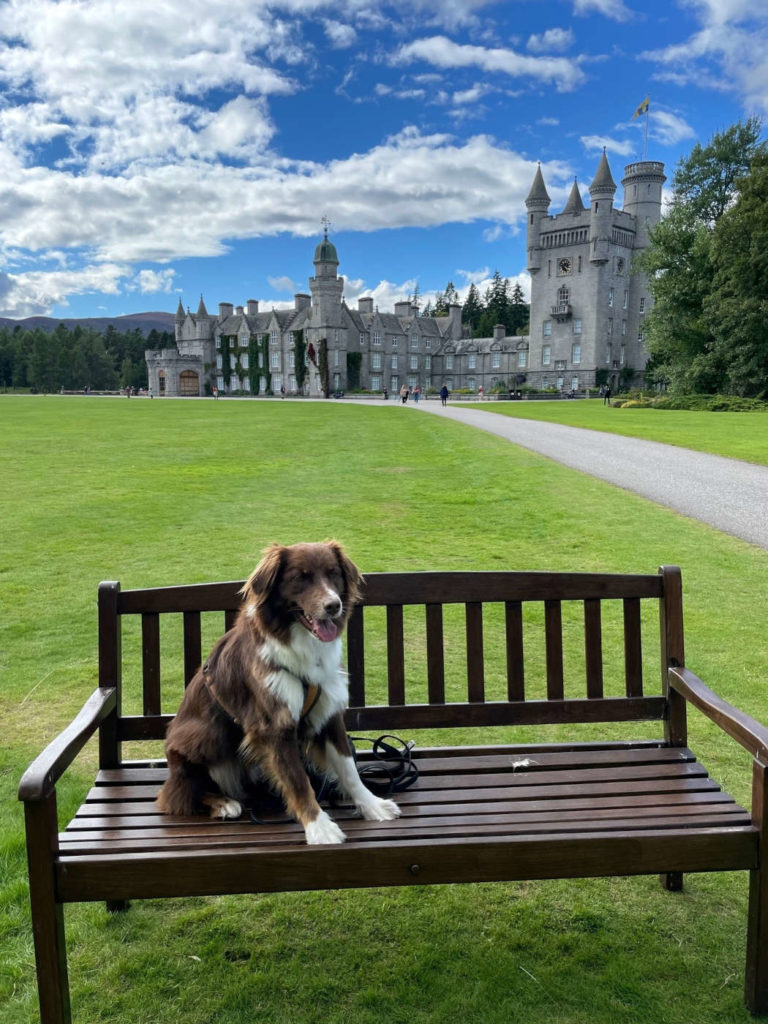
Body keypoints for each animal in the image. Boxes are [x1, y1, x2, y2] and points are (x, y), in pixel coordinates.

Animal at [154, 540, 399, 843]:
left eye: (333, 574)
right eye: (300, 578)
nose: (333, 605)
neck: (301, 643)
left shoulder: (328, 712)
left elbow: (349, 768)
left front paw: (372, 805)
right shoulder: (273, 725)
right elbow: (298, 780)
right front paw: (319, 827)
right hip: (203, 736)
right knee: (178, 794)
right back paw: (223, 803)